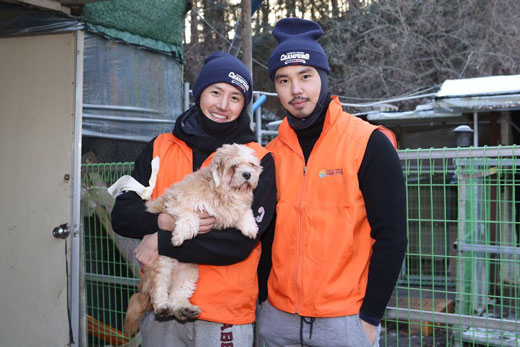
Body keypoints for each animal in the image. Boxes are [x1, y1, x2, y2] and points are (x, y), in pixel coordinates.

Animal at [123, 143, 262, 336]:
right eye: (234, 166)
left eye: (251, 164)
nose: (247, 174)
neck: (224, 192)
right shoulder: (178, 202)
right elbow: (189, 216)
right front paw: (180, 235)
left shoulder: (232, 209)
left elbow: (243, 212)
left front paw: (250, 227)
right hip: (161, 264)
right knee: (159, 288)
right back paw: (163, 306)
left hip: (188, 274)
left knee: (177, 295)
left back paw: (184, 309)